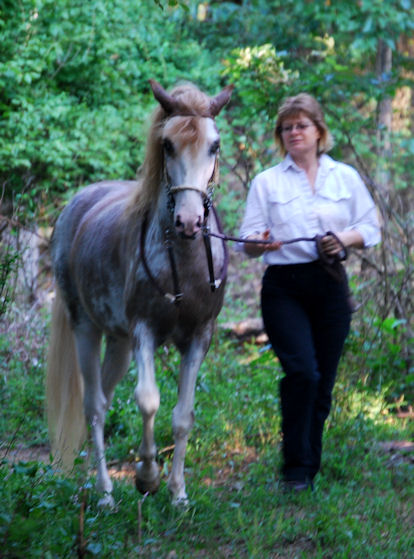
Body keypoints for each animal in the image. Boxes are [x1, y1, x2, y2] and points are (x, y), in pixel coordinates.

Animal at [46, 80, 233, 508]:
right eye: (167, 144)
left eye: (214, 145)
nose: (188, 221)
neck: (185, 263)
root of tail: (75, 206)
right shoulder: (144, 331)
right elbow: (148, 401)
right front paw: (147, 477)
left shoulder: (200, 336)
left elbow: (183, 416)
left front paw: (178, 493)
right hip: (86, 328)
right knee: (94, 406)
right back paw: (103, 492)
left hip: (118, 343)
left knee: (104, 396)